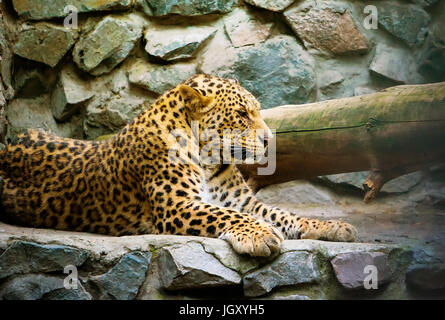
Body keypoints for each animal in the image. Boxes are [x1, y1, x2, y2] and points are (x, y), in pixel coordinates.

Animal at [0, 74, 356, 256]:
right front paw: (260, 235)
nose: (271, 140)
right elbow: (228, 216)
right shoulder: (178, 206)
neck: (209, 160)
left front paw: (333, 226)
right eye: (242, 114)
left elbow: (285, 214)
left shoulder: (244, 202)